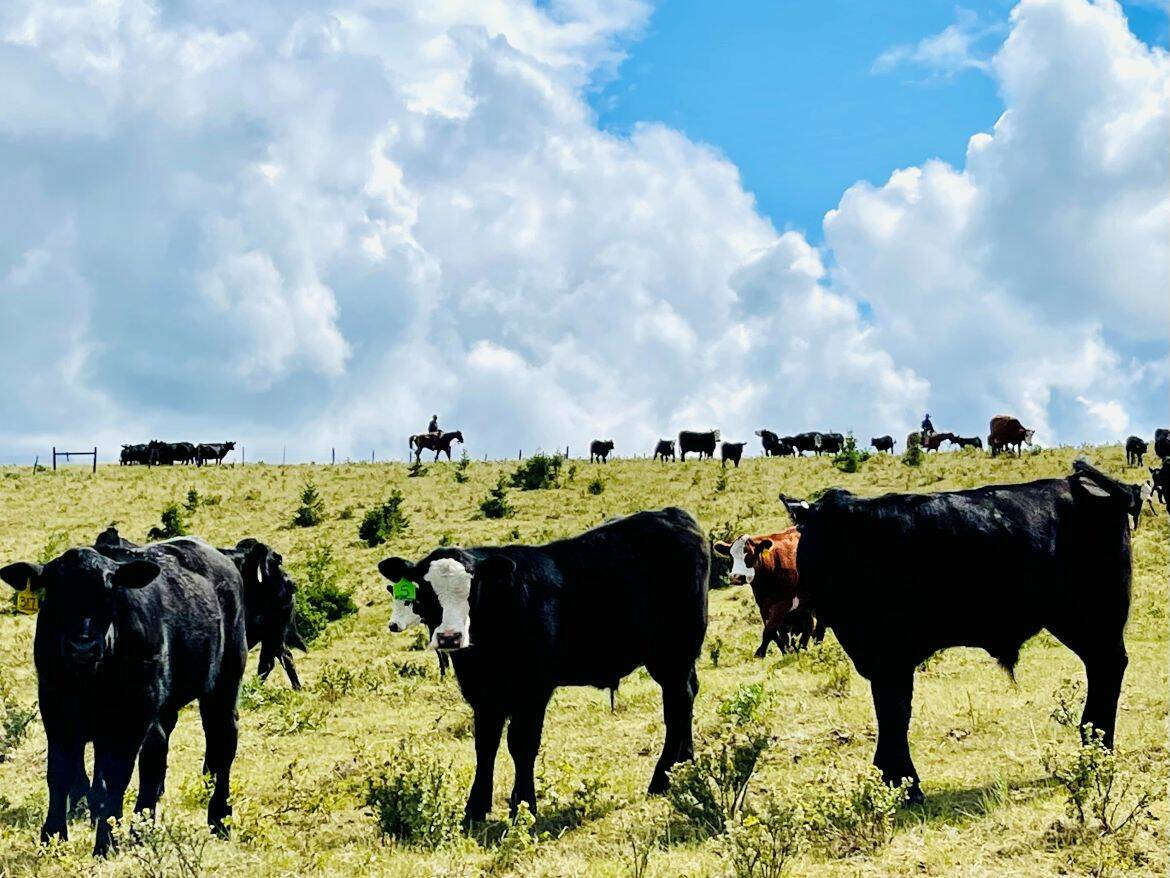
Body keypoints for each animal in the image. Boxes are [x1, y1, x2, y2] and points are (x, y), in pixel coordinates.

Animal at [1, 538, 246, 856]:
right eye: (54, 593)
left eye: (109, 592)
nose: (83, 647)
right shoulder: (55, 708)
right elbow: (60, 773)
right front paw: (52, 836)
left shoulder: (131, 717)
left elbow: (114, 778)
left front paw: (106, 842)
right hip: (163, 706)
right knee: (157, 753)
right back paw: (144, 826)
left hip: (224, 683)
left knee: (222, 742)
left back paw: (219, 818)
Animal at [377, 507, 709, 823]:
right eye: (426, 591)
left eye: (472, 590)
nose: (450, 636)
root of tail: (673, 515)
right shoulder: (483, 693)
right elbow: (485, 744)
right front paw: (475, 809)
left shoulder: (533, 689)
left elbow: (521, 743)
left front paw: (523, 805)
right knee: (687, 695)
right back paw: (685, 763)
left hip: (673, 653)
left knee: (677, 704)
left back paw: (661, 779)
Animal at [713, 529, 824, 658]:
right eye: (731, 556)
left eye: (750, 554)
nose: (736, 577)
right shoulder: (764, 606)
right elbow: (775, 633)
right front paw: (786, 651)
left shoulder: (784, 603)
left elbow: (769, 630)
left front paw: (760, 653)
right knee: (810, 625)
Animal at [779, 459, 1143, 805]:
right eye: (812, 538)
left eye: (837, 539)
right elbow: (891, 713)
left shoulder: (891, 659)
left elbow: (894, 714)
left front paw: (903, 783)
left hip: (1092, 618)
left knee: (1109, 667)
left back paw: (1098, 747)